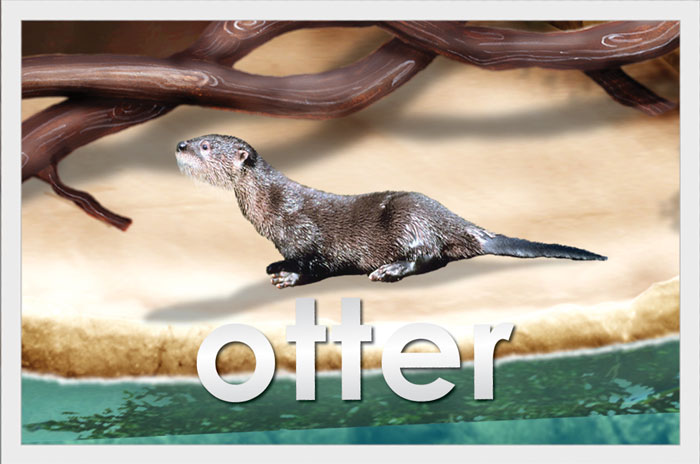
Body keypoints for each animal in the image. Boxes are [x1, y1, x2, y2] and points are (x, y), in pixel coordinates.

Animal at [175, 134, 606, 288]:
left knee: (431, 256)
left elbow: (316, 265)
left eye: (206, 146)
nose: (179, 145)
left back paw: (389, 271)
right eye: (196, 137)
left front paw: (289, 277)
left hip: (409, 220)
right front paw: (276, 266)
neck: (274, 207)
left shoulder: (309, 235)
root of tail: (459, 223)